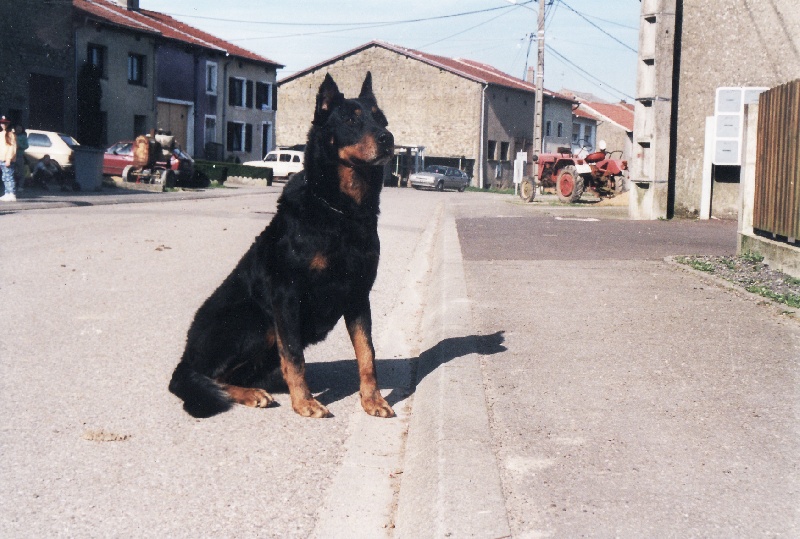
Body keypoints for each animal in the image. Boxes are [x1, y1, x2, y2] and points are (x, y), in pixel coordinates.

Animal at [169, 73, 394, 418]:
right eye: (350, 120)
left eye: (380, 119)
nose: (387, 138)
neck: (342, 210)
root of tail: (185, 355)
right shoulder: (286, 295)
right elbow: (294, 356)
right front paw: (304, 402)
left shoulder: (358, 295)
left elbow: (367, 354)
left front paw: (373, 400)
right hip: (255, 321)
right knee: (208, 377)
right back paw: (252, 394)